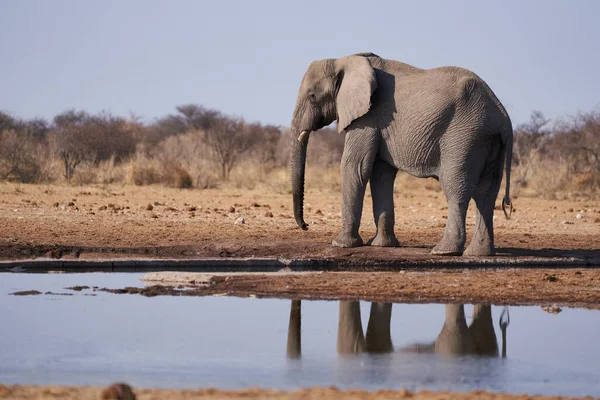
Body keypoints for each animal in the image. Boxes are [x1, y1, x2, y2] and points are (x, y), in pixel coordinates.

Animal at [290, 52, 510, 256]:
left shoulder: (368, 117)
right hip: (488, 140)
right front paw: (381, 245)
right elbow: (381, 175)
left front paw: (341, 244)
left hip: (464, 136)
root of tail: (502, 116)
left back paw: (444, 251)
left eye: (312, 96)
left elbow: (355, 167)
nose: (306, 226)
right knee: (486, 194)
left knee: (456, 188)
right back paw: (478, 253)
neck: (345, 59)